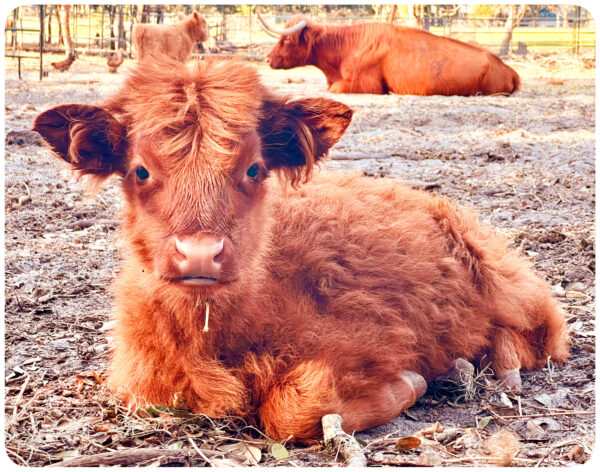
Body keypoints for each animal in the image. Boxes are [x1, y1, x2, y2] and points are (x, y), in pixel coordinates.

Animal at [32, 57, 568, 440]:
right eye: (140, 169)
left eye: (253, 168)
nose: (200, 252)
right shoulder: (143, 382)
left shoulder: (372, 339)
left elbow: (290, 411)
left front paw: (409, 387)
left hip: (502, 279)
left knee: (539, 330)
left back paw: (497, 367)